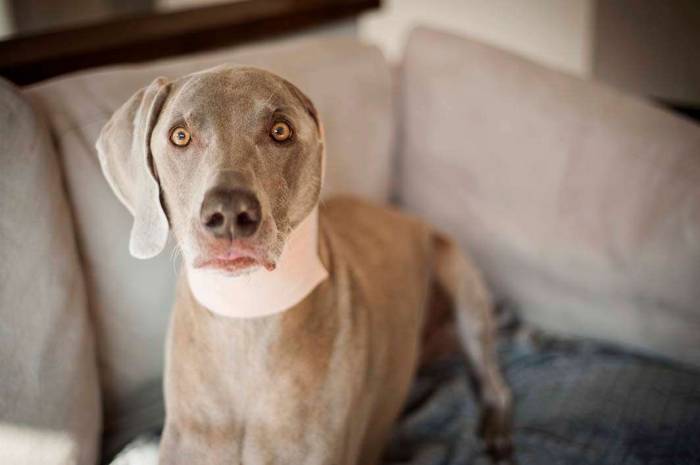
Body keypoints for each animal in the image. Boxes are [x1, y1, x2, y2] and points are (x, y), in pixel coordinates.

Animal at [95, 66, 516, 464]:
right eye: (180, 136)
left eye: (280, 130)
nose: (229, 214)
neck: (247, 320)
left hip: (458, 276)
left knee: (496, 382)